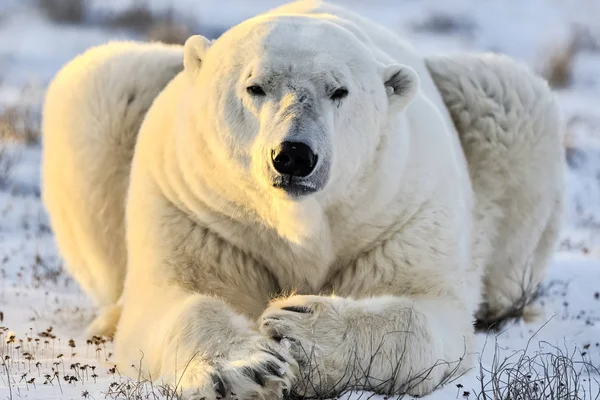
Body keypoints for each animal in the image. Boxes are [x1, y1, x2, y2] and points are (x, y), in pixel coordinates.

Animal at [41, 1, 564, 398]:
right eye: (254, 86)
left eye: (339, 90)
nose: (293, 155)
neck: (297, 224)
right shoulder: (194, 209)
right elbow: (176, 298)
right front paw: (245, 371)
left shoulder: (402, 210)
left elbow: (426, 311)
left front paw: (298, 330)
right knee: (101, 82)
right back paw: (107, 318)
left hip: (497, 111)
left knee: (507, 94)